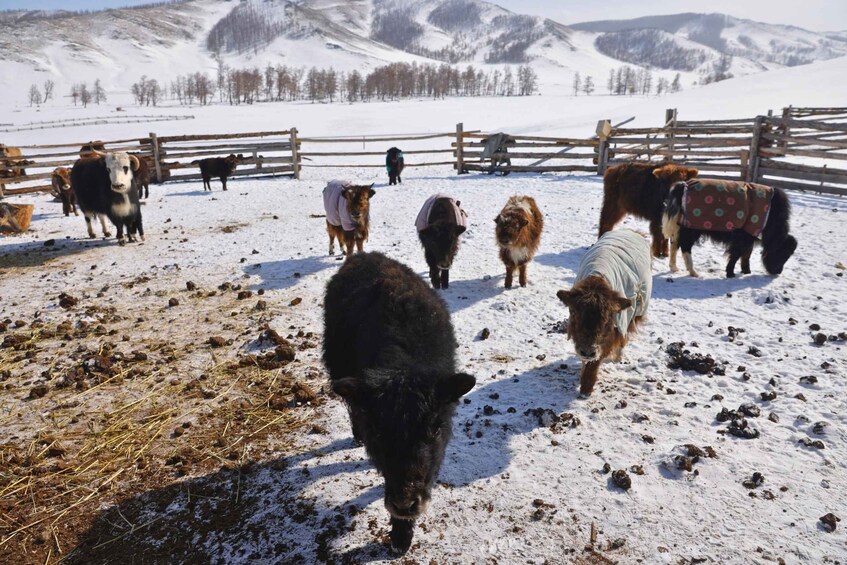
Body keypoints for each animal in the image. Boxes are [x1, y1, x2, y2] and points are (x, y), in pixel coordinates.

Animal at [556, 229, 652, 397]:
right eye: (573, 313)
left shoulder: (616, 327)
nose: (587, 352)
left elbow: (598, 358)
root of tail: (633, 231)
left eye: (608, 318)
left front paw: (586, 389)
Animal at [662, 179, 798, 278]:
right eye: (783, 253)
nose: (778, 272)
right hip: (692, 229)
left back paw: (674, 268)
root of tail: (683, 186)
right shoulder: (745, 234)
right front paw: (731, 273)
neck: (772, 213)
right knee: (685, 247)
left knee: (675, 244)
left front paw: (746, 271)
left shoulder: (749, 235)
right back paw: (694, 272)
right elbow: (737, 253)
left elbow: (746, 253)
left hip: (680, 227)